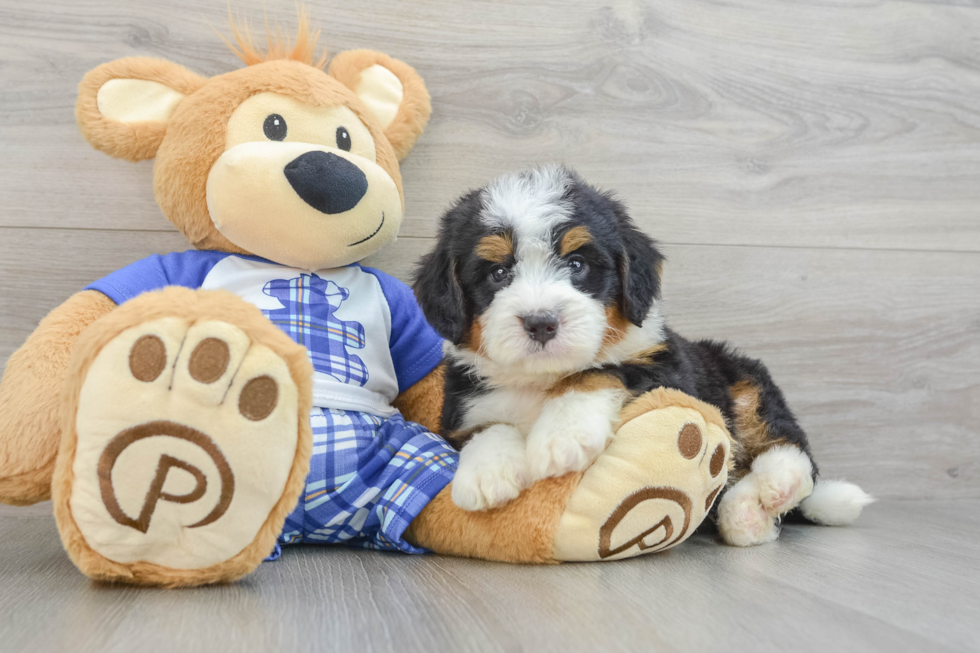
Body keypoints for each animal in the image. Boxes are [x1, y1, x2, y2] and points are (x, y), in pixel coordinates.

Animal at [414, 164, 872, 544]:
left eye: (577, 264)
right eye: (498, 273)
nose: (541, 322)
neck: (543, 378)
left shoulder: (665, 368)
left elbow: (598, 371)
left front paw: (562, 437)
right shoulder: (461, 405)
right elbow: (485, 427)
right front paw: (485, 474)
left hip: (743, 379)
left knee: (790, 451)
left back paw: (774, 489)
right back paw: (746, 516)